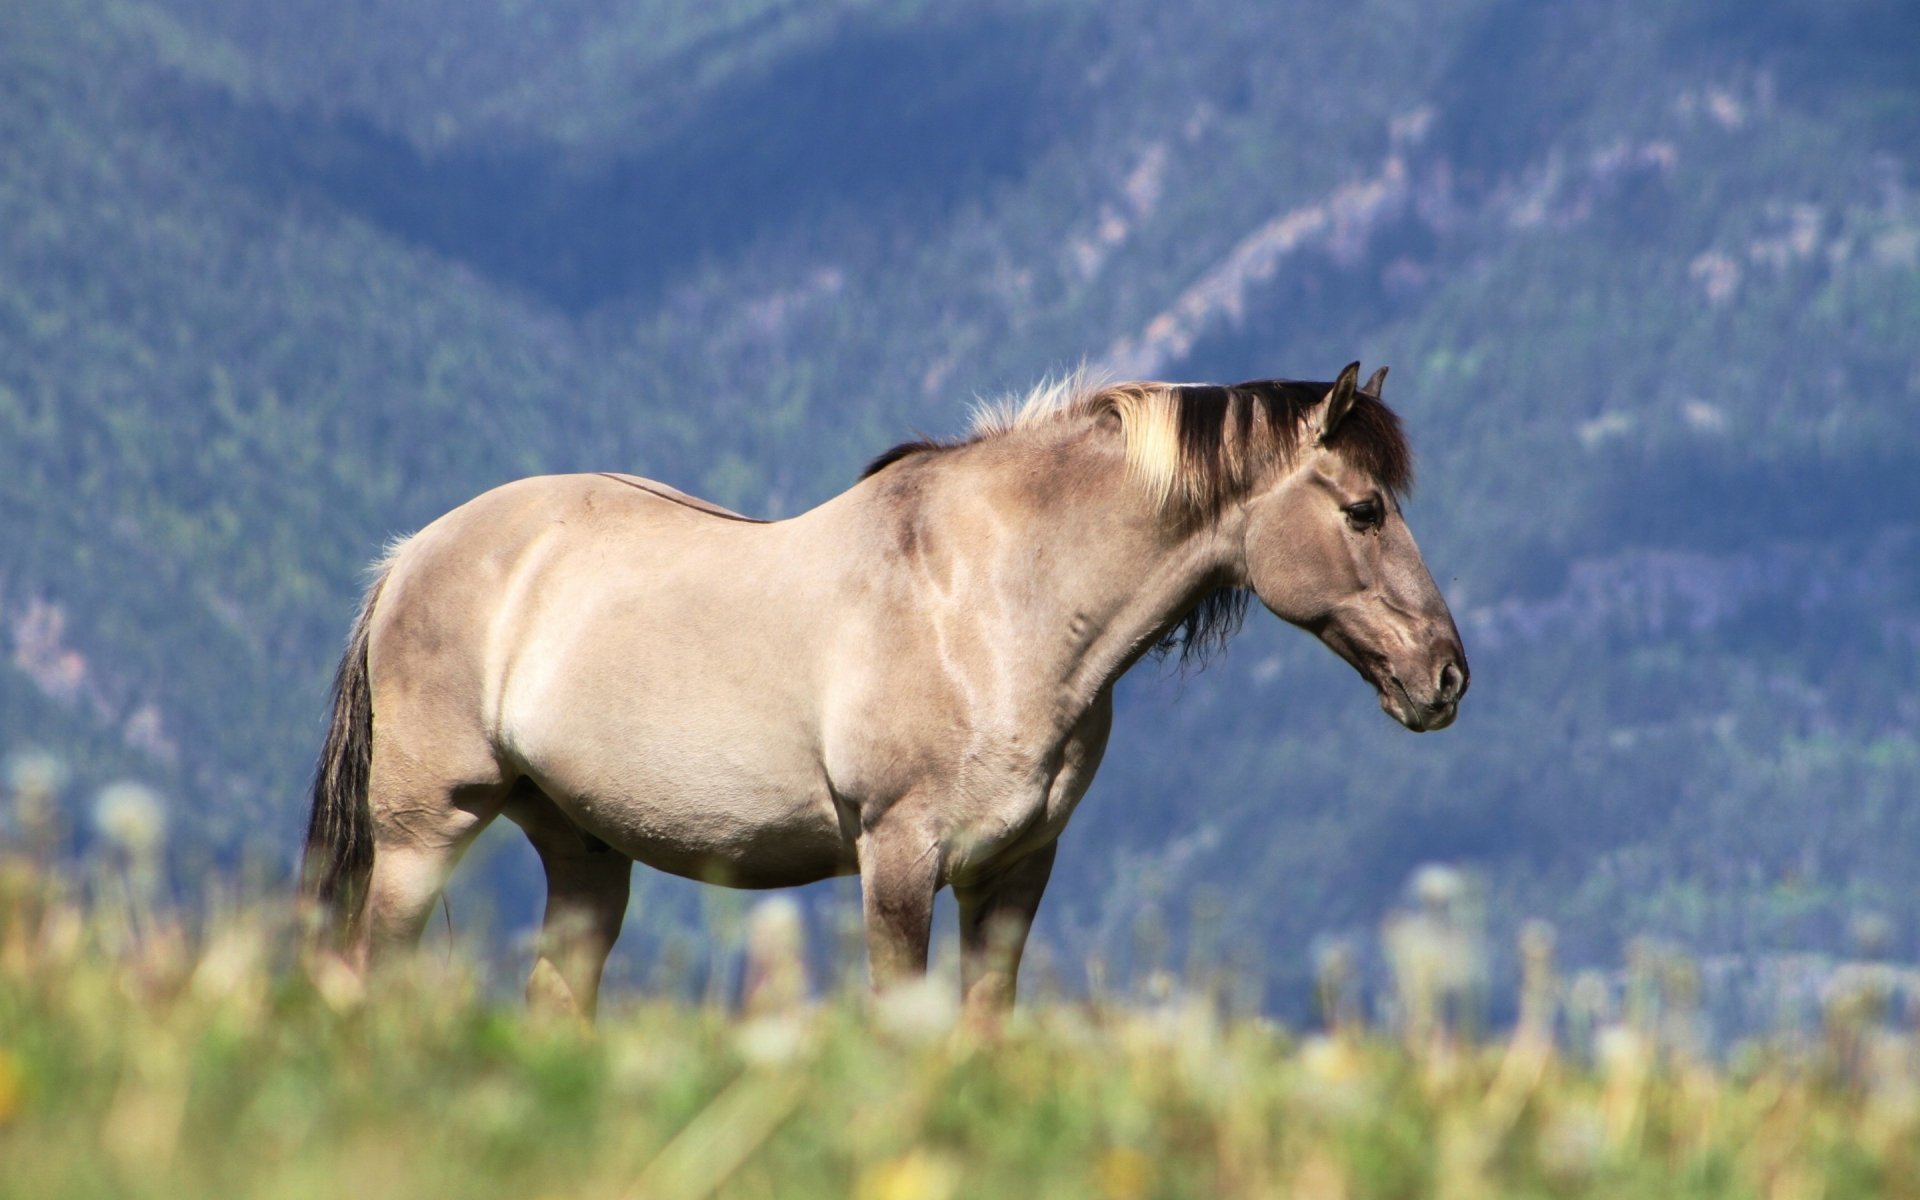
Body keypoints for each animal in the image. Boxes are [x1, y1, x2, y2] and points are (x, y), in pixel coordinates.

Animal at [303, 362, 1467, 1020]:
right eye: (1364, 510)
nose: (1446, 675)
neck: (995, 605)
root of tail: (409, 558)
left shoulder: (1016, 872)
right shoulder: (899, 857)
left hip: (585, 851)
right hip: (425, 833)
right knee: (365, 974)